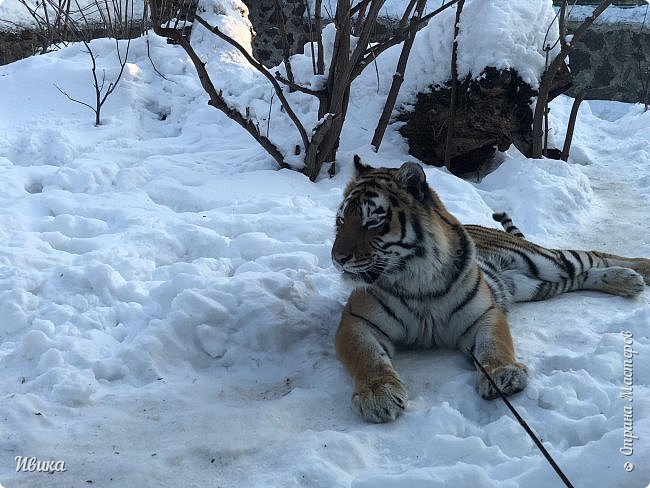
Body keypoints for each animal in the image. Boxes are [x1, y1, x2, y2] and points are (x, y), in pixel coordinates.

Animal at [332, 156, 648, 424]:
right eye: (341, 220)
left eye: (373, 221)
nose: (337, 258)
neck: (416, 279)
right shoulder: (357, 322)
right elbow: (367, 357)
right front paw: (378, 395)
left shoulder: (484, 313)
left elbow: (494, 345)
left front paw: (502, 375)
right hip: (539, 284)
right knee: (583, 275)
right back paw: (628, 280)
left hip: (547, 263)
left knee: (591, 255)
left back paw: (640, 269)